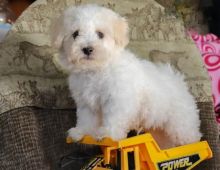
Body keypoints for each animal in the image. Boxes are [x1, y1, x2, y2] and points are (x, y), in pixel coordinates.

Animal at [51, 4, 201, 149]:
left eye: (100, 34)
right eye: (75, 34)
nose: (87, 49)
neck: (96, 69)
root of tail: (177, 80)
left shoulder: (118, 100)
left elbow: (113, 117)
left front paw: (107, 133)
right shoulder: (86, 102)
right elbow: (86, 119)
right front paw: (82, 132)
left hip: (180, 123)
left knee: (190, 137)